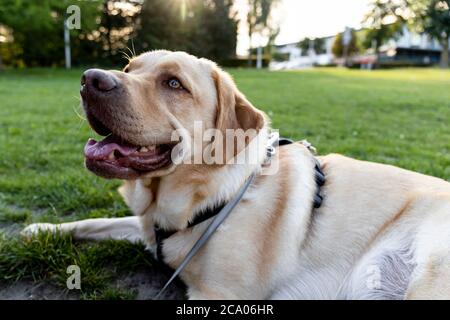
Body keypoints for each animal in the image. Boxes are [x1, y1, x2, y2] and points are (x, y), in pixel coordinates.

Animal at [22, 50, 450, 300]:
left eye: (173, 83)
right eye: (129, 68)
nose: (89, 78)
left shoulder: (218, 293)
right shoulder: (146, 226)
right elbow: (98, 222)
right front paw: (43, 229)